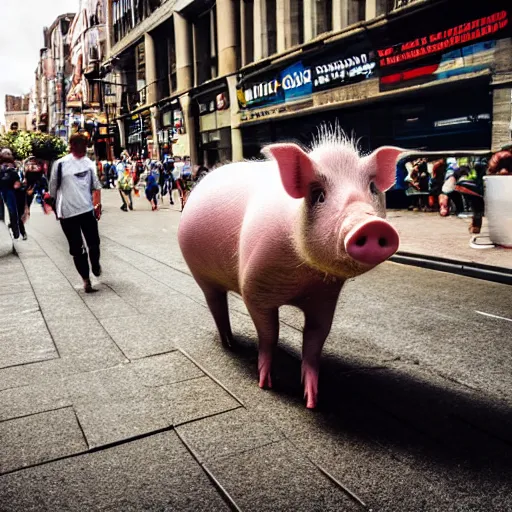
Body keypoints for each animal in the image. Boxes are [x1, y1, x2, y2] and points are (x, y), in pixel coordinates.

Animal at [178, 131, 402, 408]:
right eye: (318, 195)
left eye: (371, 188)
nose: (371, 224)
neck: (299, 279)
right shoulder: (254, 289)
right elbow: (269, 334)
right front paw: (265, 385)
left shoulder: (325, 295)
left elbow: (315, 339)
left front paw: (312, 400)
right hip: (201, 275)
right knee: (216, 306)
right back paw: (229, 344)